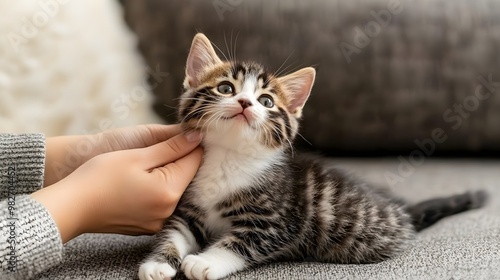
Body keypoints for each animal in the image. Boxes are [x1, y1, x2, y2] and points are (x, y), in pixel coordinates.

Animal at [139, 33, 486, 280]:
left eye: (266, 101)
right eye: (225, 88)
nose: (245, 103)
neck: (229, 156)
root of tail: (401, 209)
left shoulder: (278, 220)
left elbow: (242, 242)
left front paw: (205, 262)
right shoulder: (190, 209)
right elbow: (174, 232)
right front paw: (158, 263)